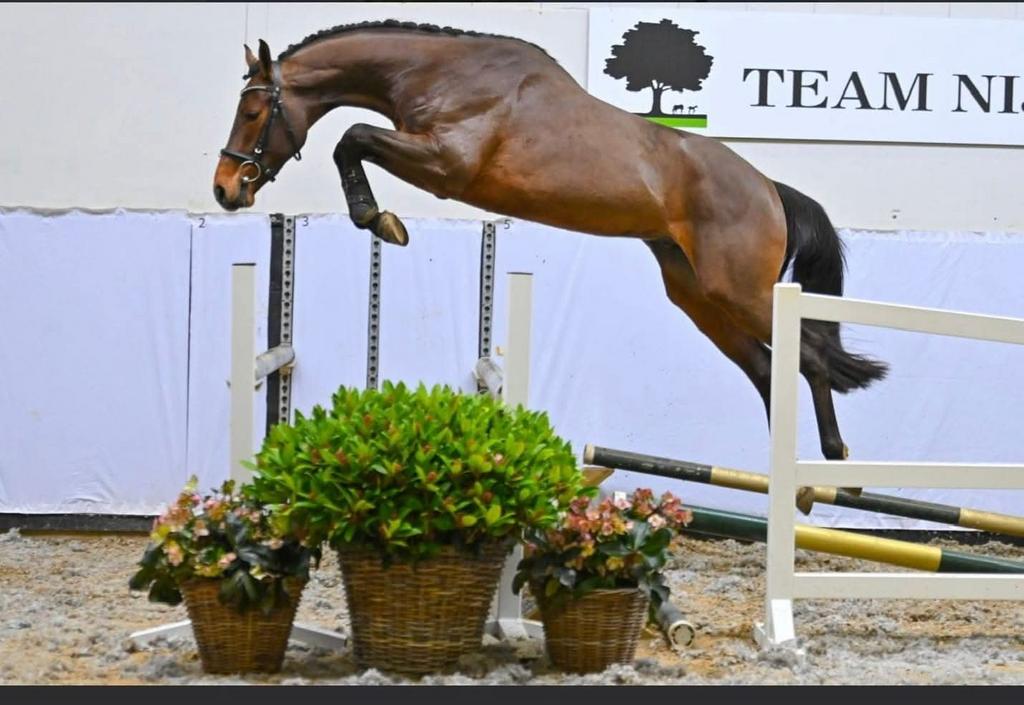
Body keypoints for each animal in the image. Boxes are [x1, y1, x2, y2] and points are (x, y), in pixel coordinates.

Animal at [212, 21, 888, 510]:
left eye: (252, 113)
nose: (225, 189)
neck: (436, 73)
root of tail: (768, 189)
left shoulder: (445, 165)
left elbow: (350, 136)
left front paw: (379, 220)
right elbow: (350, 139)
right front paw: (379, 219)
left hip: (738, 290)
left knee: (810, 357)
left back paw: (836, 470)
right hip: (698, 297)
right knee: (771, 369)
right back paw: (795, 479)